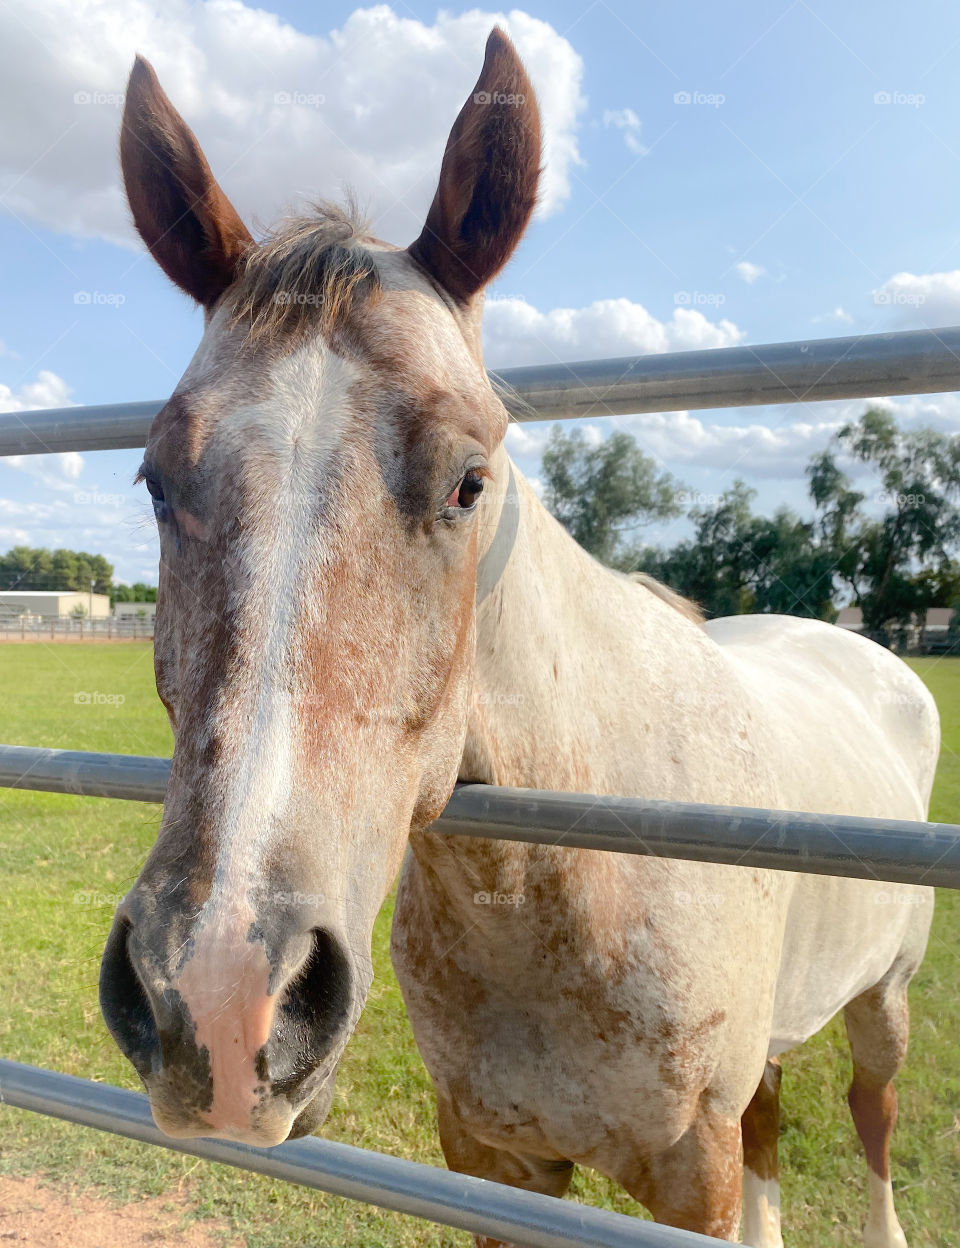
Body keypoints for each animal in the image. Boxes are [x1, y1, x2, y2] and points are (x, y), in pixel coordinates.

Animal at [99, 29, 939, 1248]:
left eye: (469, 480)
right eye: (158, 480)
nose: (217, 995)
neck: (566, 885)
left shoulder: (691, 1174)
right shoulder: (491, 1157)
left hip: (886, 998)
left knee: (872, 1116)